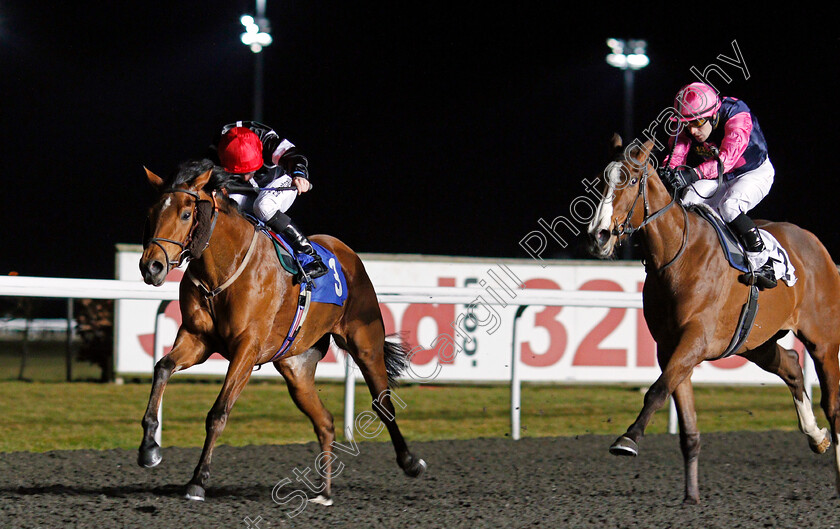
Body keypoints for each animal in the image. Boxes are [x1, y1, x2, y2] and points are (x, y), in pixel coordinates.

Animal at [139, 161, 426, 500]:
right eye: (150, 213)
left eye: (185, 214)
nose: (151, 267)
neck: (222, 270)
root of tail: (345, 252)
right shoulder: (197, 340)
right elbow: (162, 368)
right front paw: (149, 449)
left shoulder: (247, 348)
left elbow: (218, 413)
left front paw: (198, 480)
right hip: (296, 367)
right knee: (325, 422)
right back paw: (323, 492)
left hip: (365, 342)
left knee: (383, 404)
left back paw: (410, 462)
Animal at [584, 134, 840, 502]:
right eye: (601, 180)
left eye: (631, 180)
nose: (598, 235)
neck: (677, 255)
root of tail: (816, 245)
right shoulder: (670, 346)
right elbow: (684, 421)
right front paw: (691, 496)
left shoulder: (696, 339)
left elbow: (656, 391)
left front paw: (628, 439)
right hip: (755, 341)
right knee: (791, 364)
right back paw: (816, 436)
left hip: (823, 341)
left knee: (832, 406)